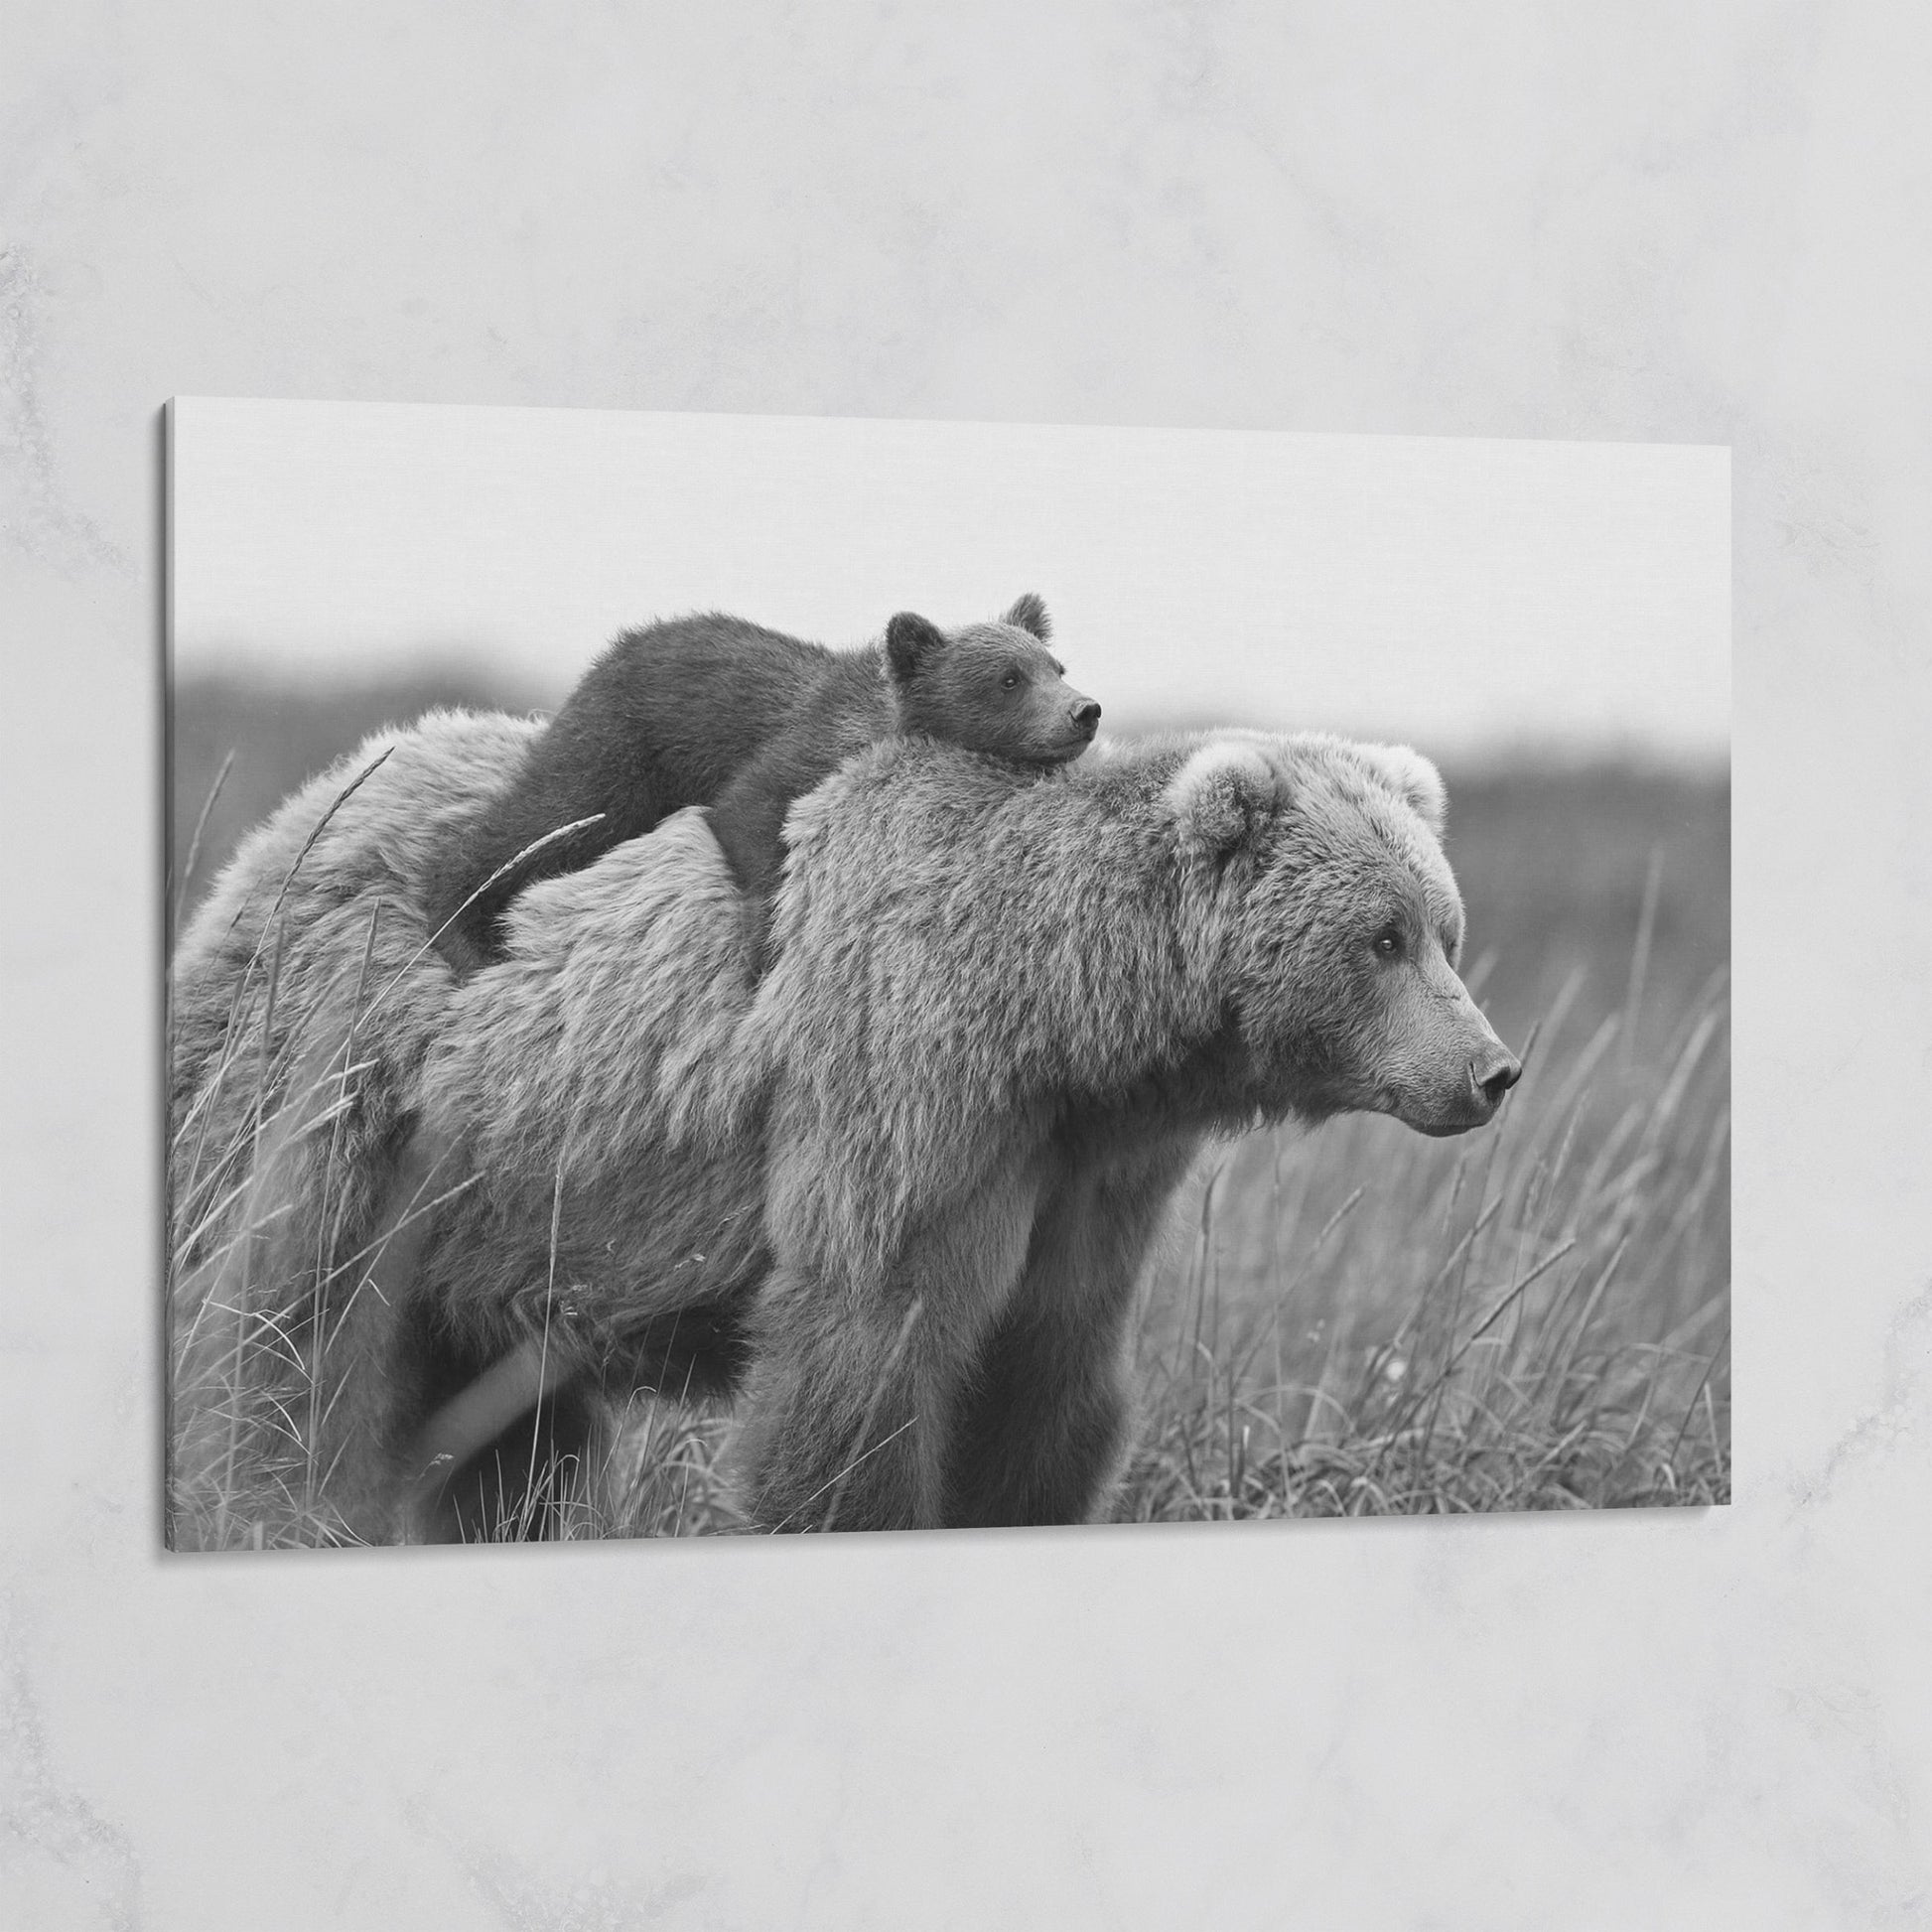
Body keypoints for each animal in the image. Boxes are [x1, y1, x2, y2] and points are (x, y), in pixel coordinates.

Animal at [166, 711, 1519, 1544]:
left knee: (507, 1438)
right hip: (346, 1092)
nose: (1491, 1069)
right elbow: (862, 1359)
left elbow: (1046, 1381)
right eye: (1382, 935)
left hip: (503, 1220)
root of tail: (288, 820)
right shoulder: (903, 1093)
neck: (1064, 1024)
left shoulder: (1086, 1175)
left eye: (1443, 927)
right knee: (283, 1339)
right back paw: (263, 1500)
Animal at [420, 594, 1100, 973]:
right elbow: (748, 814)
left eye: (1056, 665)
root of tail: (612, 652)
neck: (878, 723)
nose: (1084, 710)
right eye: (1008, 678)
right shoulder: (799, 751)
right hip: (621, 751)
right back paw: (463, 930)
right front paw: (764, 950)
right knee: (546, 820)